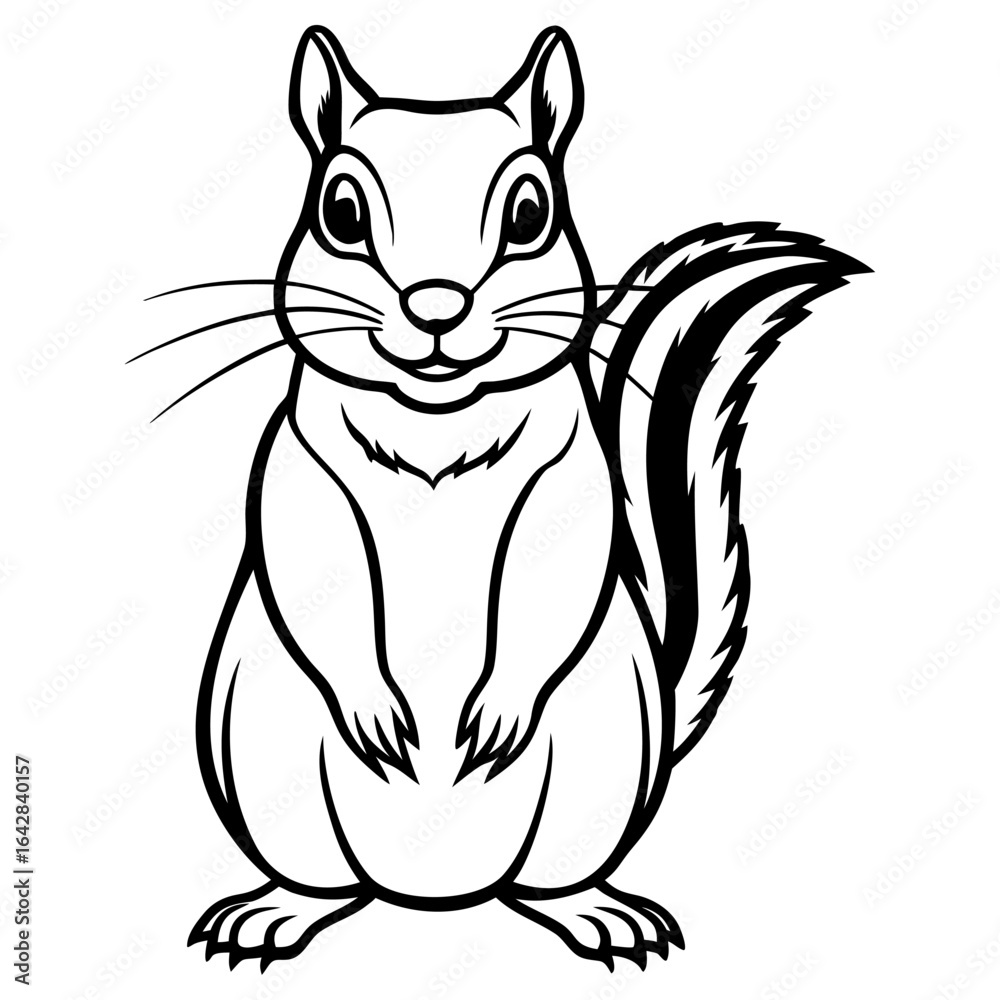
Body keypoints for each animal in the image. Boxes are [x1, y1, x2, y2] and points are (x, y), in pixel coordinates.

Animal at [179, 25, 869, 972]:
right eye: (341, 213)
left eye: (530, 214)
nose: (435, 307)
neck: (435, 422)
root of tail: (432, 891)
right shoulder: (297, 468)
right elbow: (310, 570)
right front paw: (375, 708)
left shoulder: (570, 480)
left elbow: (558, 579)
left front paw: (498, 709)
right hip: (261, 765)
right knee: (317, 879)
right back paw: (272, 912)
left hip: (598, 775)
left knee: (554, 882)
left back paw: (600, 914)